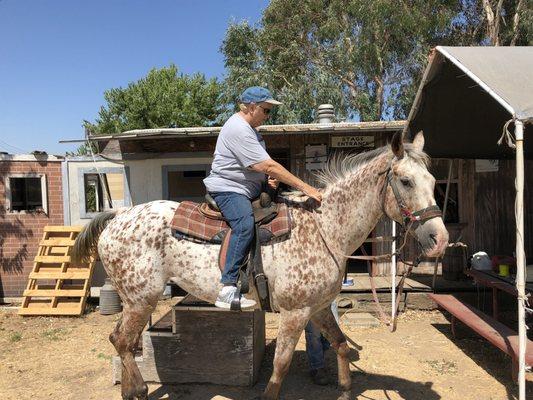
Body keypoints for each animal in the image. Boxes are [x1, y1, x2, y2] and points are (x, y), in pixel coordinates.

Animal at [70, 133, 444, 398]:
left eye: (434, 181)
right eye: (406, 181)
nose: (439, 238)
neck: (324, 227)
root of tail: (119, 215)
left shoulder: (319, 307)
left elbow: (339, 344)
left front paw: (345, 388)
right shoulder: (295, 312)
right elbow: (279, 366)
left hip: (137, 300)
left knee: (121, 340)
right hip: (140, 298)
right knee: (121, 340)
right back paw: (137, 390)